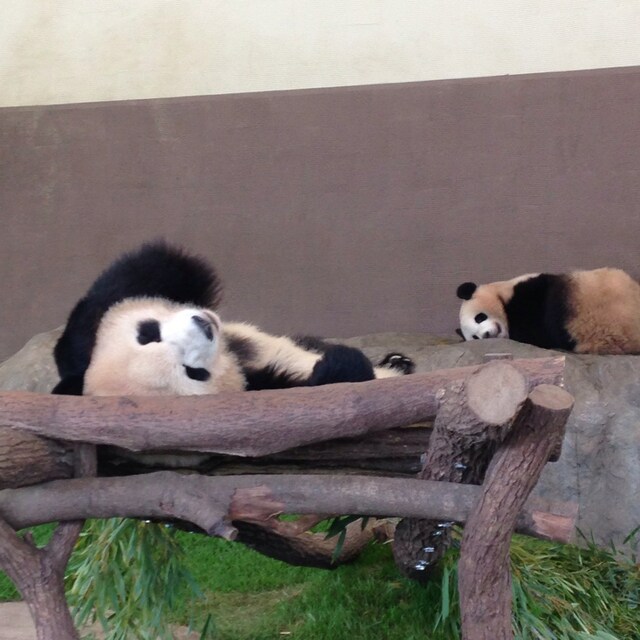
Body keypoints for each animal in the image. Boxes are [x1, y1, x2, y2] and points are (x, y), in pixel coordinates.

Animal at [52, 241, 415, 399]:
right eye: (194, 373)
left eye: (148, 333)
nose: (203, 326)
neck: (236, 354)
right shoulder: (263, 387)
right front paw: (342, 362)